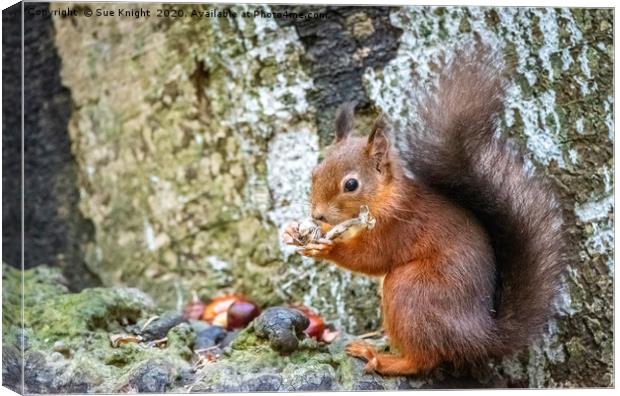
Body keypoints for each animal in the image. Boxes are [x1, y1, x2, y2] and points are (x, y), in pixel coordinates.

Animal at [284, 48, 568, 376]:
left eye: (351, 184)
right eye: (315, 172)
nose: (317, 215)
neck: (385, 198)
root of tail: (478, 337)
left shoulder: (400, 226)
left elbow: (370, 258)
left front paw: (326, 248)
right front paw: (301, 232)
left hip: (409, 291)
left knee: (421, 360)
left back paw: (379, 358)